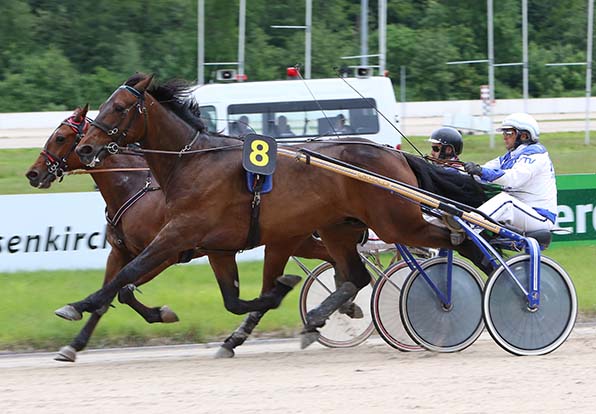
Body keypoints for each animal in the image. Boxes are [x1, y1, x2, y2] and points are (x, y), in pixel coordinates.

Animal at [26, 106, 340, 360]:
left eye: (61, 137)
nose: (33, 173)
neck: (135, 188)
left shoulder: (167, 251)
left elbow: (123, 290)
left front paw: (161, 313)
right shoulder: (120, 252)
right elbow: (109, 294)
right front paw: (73, 345)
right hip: (296, 239)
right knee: (333, 259)